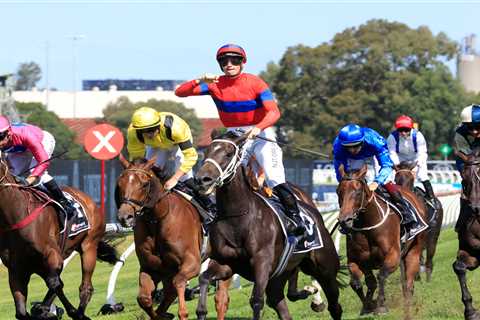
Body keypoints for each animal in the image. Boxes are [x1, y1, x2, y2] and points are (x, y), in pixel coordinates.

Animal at [0, 156, 118, 318]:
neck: (15, 214)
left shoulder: (52, 255)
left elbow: (55, 283)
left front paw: (70, 312)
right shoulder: (16, 269)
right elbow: (21, 312)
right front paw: (43, 310)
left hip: (89, 246)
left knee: (85, 287)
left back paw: (78, 312)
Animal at [114, 156, 231, 320]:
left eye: (144, 184)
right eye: (120, 184)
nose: (125, 217)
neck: (158, 219)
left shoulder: (191, 264)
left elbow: (179, 283)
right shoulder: (151, 268)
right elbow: (144, 299)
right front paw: (162, 315)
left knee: (221, 300)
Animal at [193, 132, 344, 320]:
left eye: (228, 153)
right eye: (206, 152)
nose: (202, 180)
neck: (238, 216)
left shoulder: (262, 263)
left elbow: (257, 300)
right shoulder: (227, 263)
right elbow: (204, 278)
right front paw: (201, 309)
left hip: (326, 269)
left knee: (334, 305)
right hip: (280, 276)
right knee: (281, 303)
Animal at [338, 165, 428, 320]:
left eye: (358, 191)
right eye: (339, 191)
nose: (344, 220)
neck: (368, 225)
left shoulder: (393, 257)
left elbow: (381, 276)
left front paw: (380, 306)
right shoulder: (356, 260)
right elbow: (358, 283)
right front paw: (368, 306)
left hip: (413, 252)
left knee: (408, 286)